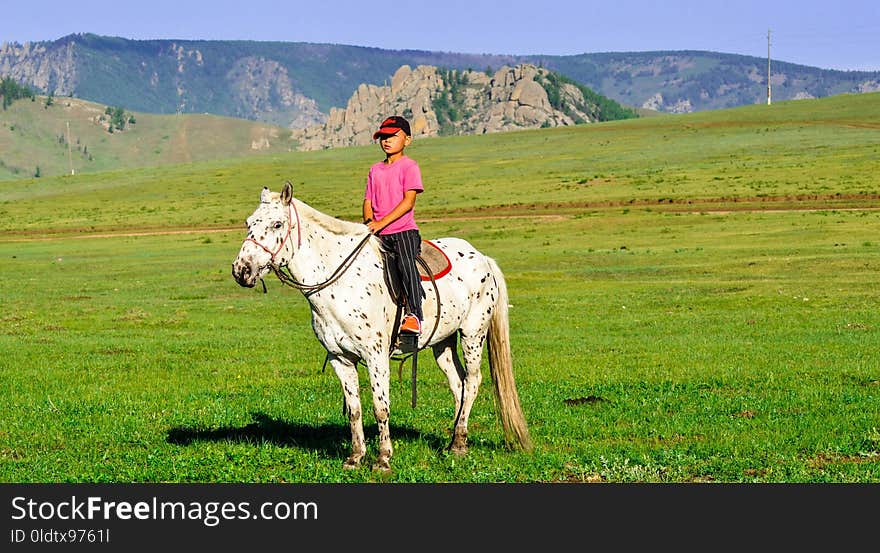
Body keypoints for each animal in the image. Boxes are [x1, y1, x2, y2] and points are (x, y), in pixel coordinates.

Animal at [232, 182, 528, 470]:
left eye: (277, 224)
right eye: (249, 223)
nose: (241, 270)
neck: (340, 283)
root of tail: (483, 258)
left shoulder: (376, 356)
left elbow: (380, 406)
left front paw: (383, 458)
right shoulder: (340, 358)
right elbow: (354, 409)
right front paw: (355, 457)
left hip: (472, 334)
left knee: (473, 381)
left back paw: (457, 443)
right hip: (442, 342)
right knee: (458, 384)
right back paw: (457, 441)